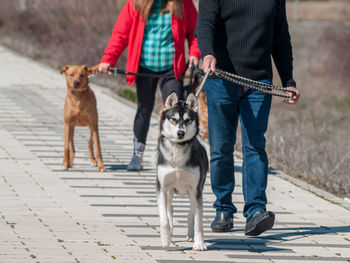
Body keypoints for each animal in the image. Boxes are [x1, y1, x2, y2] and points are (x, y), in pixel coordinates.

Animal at [155, 93, 208, 252]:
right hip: (170, 192)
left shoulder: (196, 190)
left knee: (191, 212)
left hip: (194, 192)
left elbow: (198, 220)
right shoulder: (162, 188)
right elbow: (164, 219)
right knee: (170, 210)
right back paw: (170, 234)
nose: (180, 133)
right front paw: (165, 240)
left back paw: (190, 235)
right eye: (173, 119)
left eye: (187, 120)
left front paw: (199, 243)